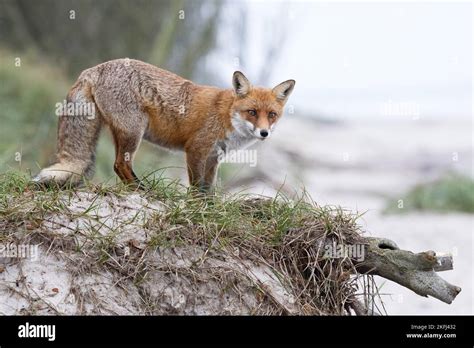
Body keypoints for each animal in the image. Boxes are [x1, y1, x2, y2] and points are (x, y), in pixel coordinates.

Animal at [33, 58, 294, 192]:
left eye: (272, 115)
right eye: (252, 112)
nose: (264, 133)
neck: (226, 115)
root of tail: (95, 68)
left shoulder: (213, 157)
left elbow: (208, 190)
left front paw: (208, 209)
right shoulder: (196, 150)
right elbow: (197, 187)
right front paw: (195, 208)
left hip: (124, 133)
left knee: (119, 166)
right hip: (134, 132)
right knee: (120, 165)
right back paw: (143, 190)